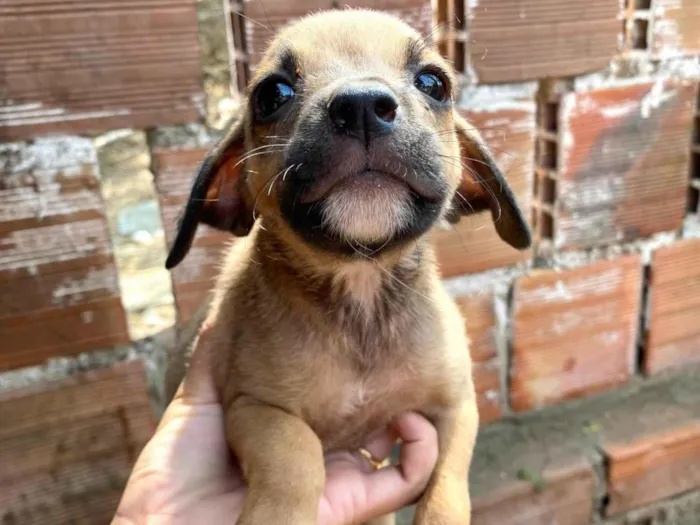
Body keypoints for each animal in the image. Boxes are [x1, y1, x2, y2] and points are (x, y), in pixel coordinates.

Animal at [167, 9, 528, 524]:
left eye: (433, 83)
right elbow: (294, 452)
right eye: (271, 94)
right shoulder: (255, 408)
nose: (361, 106)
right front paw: (278, 514)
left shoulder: (458, 406)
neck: (361, 287)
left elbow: (447, 487)